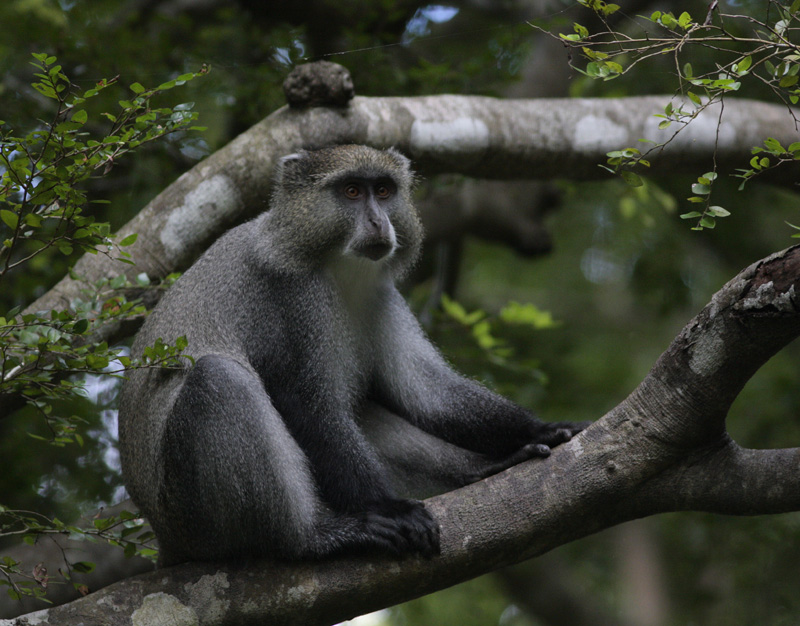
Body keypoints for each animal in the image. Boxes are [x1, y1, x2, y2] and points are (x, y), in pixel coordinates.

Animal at [115, 144, 584, 564]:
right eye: (352, 192)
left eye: (384, 190)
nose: (378, 221)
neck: (337, 268)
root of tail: (167, 541)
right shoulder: (292, 300)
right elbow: (307, 405)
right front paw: (388, 510)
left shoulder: (380, 294)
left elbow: (427, 391)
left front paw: (540, 430)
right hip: (191, 515)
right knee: (219, 379)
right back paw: (313, 539)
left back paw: (481, 470)